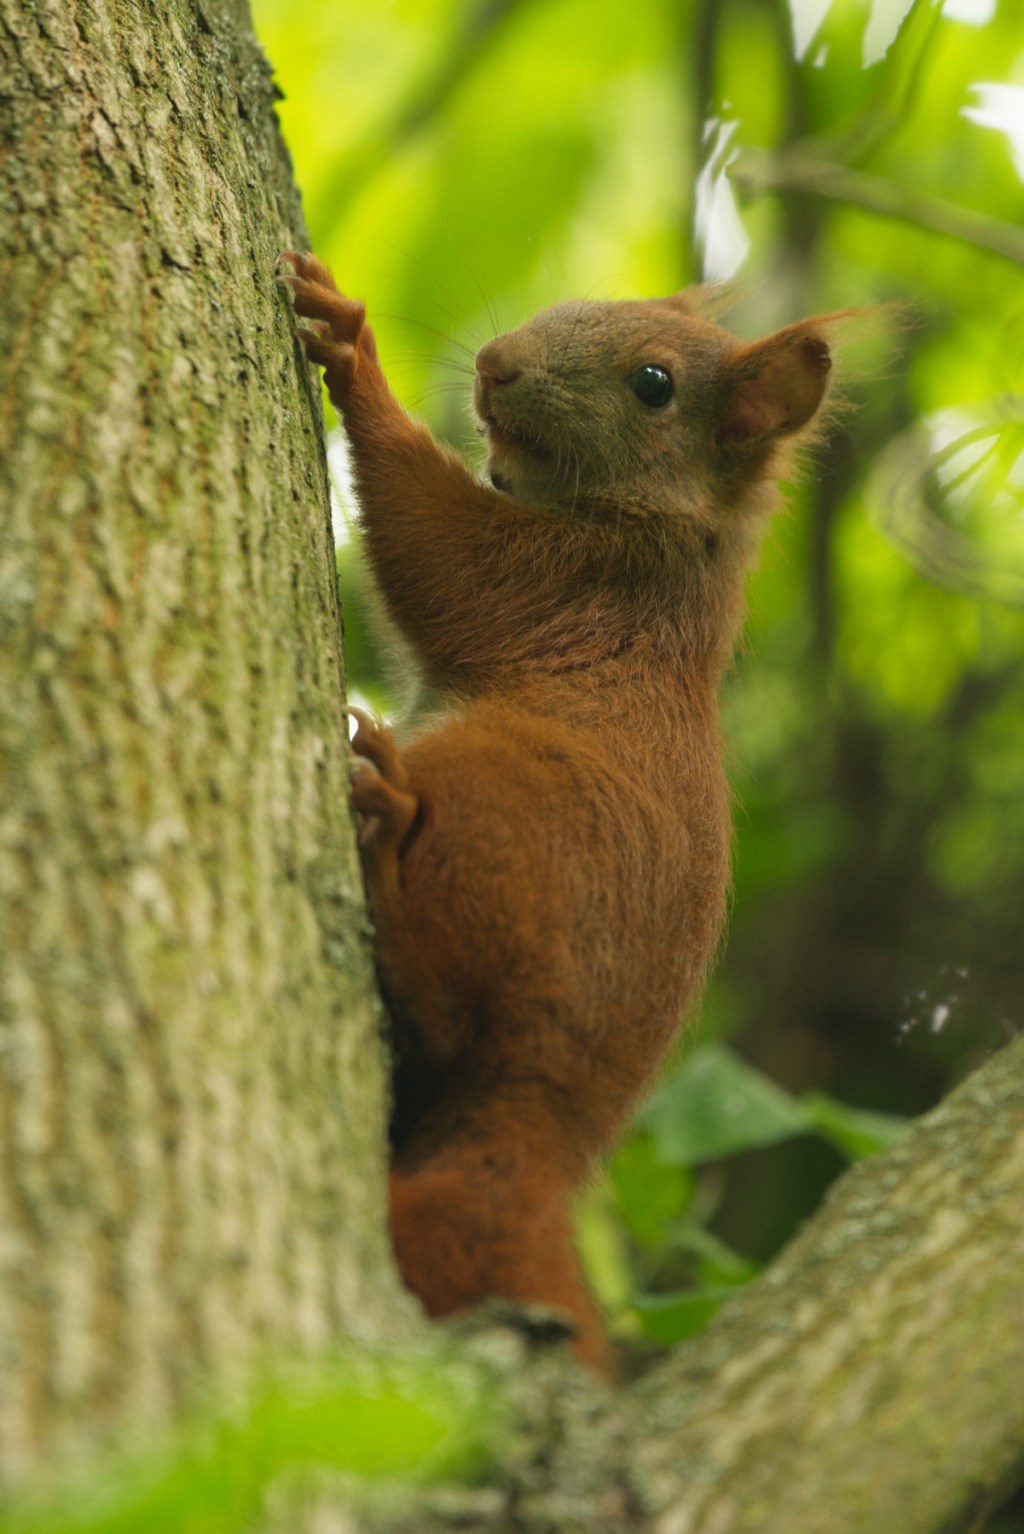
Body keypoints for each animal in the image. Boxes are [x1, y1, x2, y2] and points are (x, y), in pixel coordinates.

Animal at [280, 251, 834, 1372]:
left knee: (447, 995)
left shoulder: (573, 588)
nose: (494, 364)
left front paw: (354, 352)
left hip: (498, 819)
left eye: (654, 383)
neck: (678, 543)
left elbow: (439, 550)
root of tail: (549, 1125)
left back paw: (388, 836)